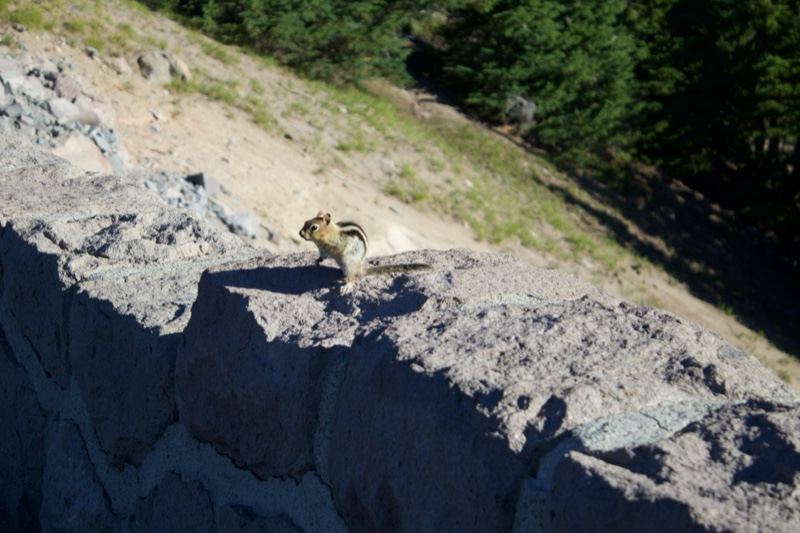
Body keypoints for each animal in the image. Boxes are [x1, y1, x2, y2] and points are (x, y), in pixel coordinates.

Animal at [299, 211, 431, 294]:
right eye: (305, 222)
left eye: (314, 227)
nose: (300, 233)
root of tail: (361, 268)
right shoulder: (322, 249)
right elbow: (322, 256)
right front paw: (317, 261)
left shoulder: (333, 245)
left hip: (348, 260)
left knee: (353, 277)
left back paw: (347, 286)